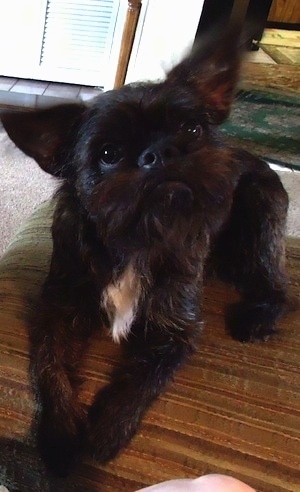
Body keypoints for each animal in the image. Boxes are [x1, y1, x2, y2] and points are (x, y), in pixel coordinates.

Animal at [1, 28, 292, 474]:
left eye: (192, 129)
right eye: (108, 154)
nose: (163, 153)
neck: (138, 236)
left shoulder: (176, 330)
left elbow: (142, 379)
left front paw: (106, 431)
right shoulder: (57, 312)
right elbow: (51, 368)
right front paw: (60, 436)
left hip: (262, 214)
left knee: (277, 286)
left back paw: (257, 318)